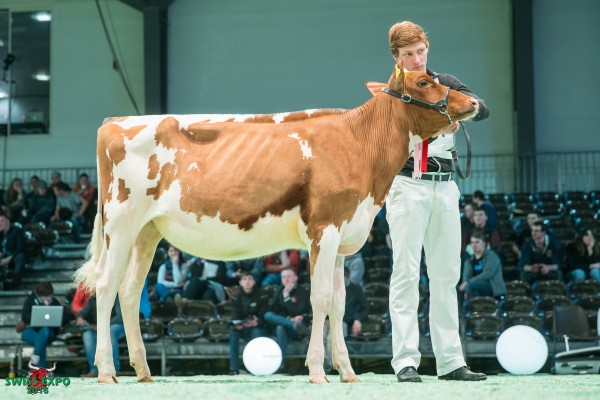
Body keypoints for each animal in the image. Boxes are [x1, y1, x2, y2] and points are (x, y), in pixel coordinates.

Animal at [74, 60, 478, 384]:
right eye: (424, 82)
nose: (474, 102)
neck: (358, 144)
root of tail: (116, 122)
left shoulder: (344, 234)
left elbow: (340, 303)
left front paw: (347, 372)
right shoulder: (324, 228)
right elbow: (319, 298)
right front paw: (317, 371)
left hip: (147, 231)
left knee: (129, 291)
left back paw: (143, 372)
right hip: (121, 223)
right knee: (107, 286)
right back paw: (107, 372)